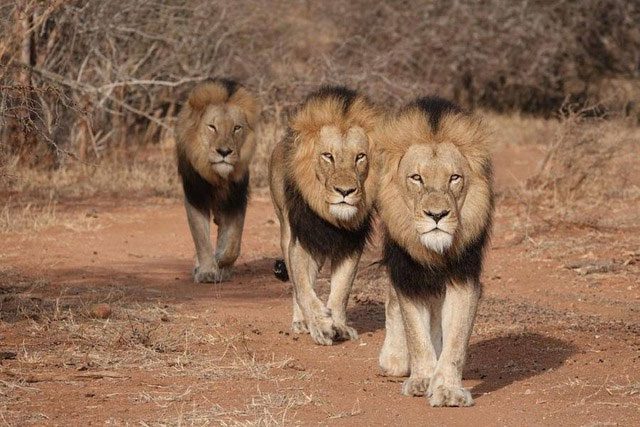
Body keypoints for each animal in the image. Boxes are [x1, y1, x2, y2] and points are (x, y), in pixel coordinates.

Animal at [175, 78, 260, 282]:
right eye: (212, 127)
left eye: (236, 128)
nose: (224, 152)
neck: (218, 177)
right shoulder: (195, 197)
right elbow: (201, 239)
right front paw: (206, 270)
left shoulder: (236, 199)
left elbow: (233, 244)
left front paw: (220, 260)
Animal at [268, 85, 380, 346]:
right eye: (328, 156)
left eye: (360, 156)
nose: (345, 191)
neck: (332, 217)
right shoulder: (302, 240)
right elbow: (303, 287)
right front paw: (320, 326)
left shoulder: (350, 244)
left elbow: (342, 290)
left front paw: (339, 325)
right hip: (285, 229)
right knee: (296, 284)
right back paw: (301, 322)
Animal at [376, 97, 496, 408]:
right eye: (416, 178)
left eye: (454, 178)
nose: (437, 215)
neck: (435, 251)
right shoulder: (407, 274)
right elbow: (416, 335)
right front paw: (421, 379)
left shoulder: (463, 277)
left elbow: (455, 341)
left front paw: (447, 389)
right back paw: (394, 358)